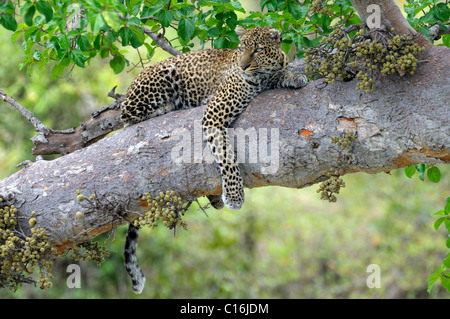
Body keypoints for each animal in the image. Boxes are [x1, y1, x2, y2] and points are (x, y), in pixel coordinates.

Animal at [120, 26, 306, 294]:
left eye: (258, 50)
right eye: (241, 49)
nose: (243, 66)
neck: (262, 77)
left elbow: (282, 70)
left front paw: (293, 76)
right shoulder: (213, 116)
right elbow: (226, 155)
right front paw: (235, 196)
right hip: (162, 75)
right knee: (127, 117)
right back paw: (165, 107)